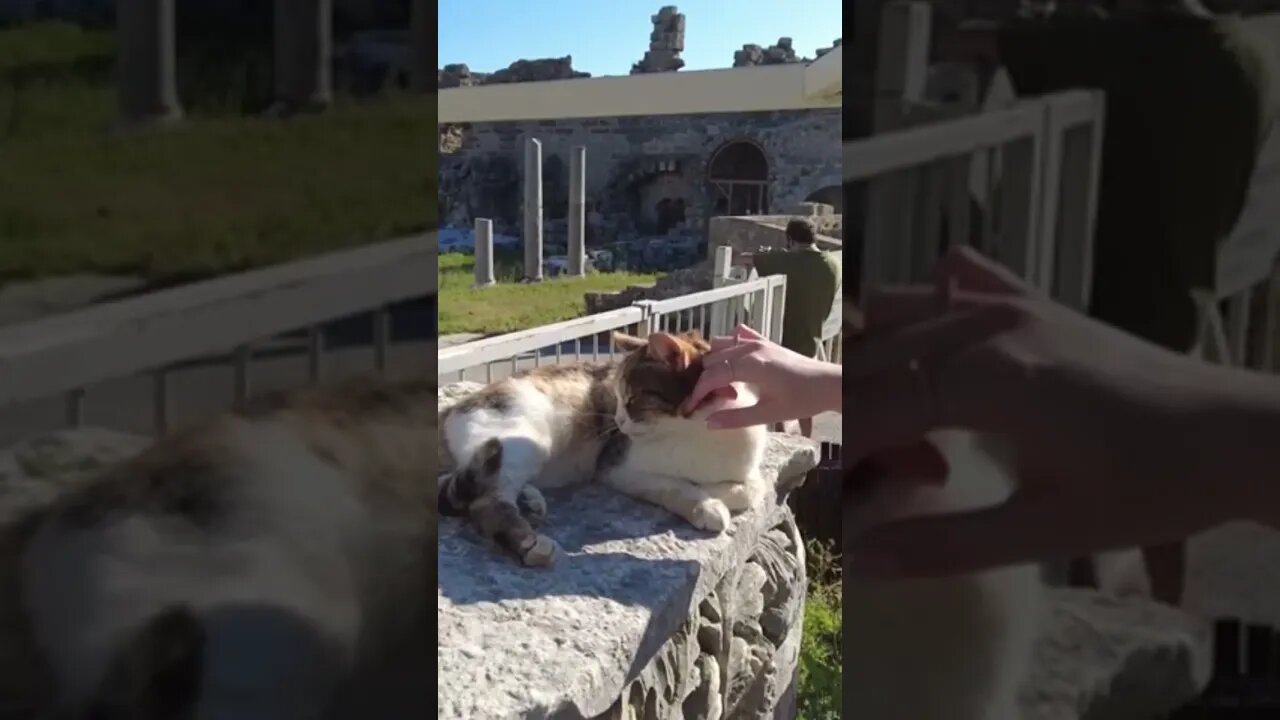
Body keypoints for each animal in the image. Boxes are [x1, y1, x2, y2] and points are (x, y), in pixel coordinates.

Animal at [437, 330, 768, 566]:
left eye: (631, 399)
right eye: (616, 397)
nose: (618, 421)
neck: (701, 433)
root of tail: (451, 408)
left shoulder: (749, 467)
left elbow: (752, 489)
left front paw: (720, 491)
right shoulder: (616, 468)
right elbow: (676, 487)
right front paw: (708, 505)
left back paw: (530, 499)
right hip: (521, 440)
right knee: (484, 500)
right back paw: (530, 544)